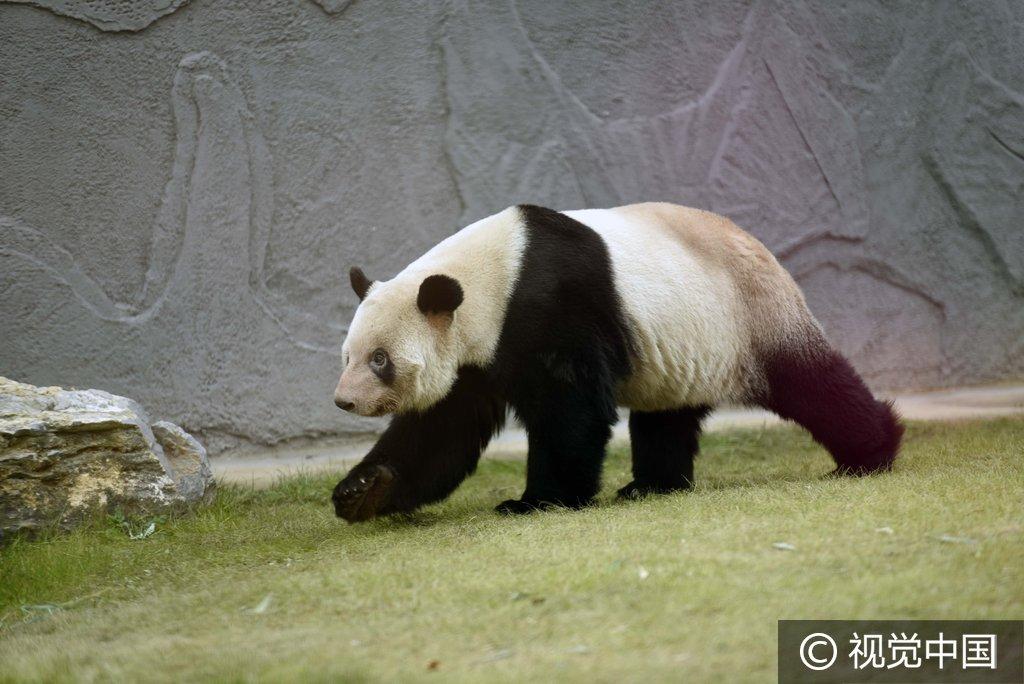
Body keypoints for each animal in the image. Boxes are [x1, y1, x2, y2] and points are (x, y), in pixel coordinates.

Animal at [331, 202, 901, 524]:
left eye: (380, 359)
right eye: (349, 355)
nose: (344, 401)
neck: (495, 273)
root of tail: (767, 252)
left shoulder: (549, 303)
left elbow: (570, 409)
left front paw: (540, 501)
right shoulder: (475, 357)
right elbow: (441, 430)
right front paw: (363, 492)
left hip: (748, 315)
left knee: (811, 382)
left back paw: (872, 451)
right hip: (682, 345)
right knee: (666, 416)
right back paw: (652, 485)